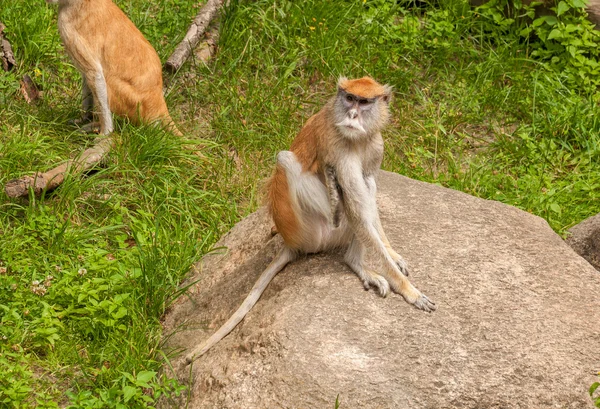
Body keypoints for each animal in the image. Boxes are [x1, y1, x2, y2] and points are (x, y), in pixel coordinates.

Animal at [47, 0, 180, 135]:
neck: (79, 2)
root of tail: (157, 99)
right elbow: (87, 76)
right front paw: (84, 118)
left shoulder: (67, 25)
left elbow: (95, 74)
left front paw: (106, 132)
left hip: (133, 101)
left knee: (108, 80)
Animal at [184, 76, 436, 364]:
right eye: (349, 98)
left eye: (364, 102)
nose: (352, 114)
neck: (358, 138)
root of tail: (291, 242)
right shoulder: (337, 146)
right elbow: (357, 210)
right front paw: (410, 291)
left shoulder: (376, 145)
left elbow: (369, 193)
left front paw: (392, 253)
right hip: (312, 230)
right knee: (288, 161)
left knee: (367, 187)